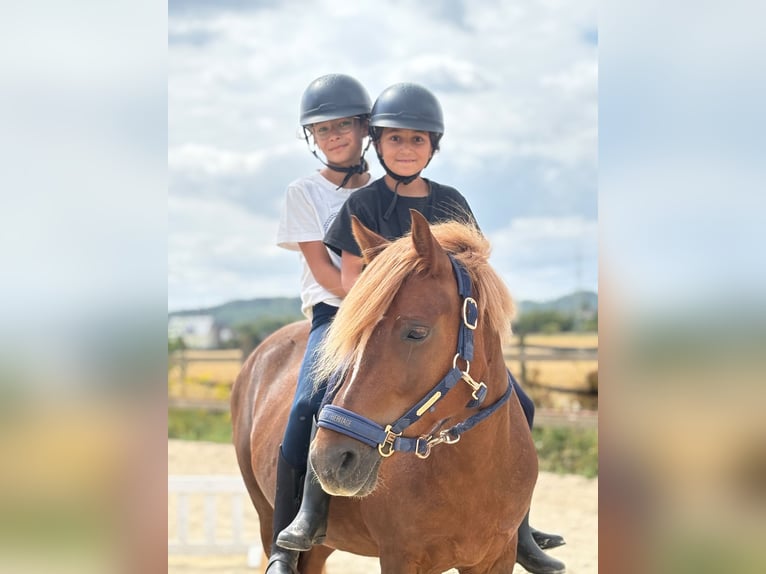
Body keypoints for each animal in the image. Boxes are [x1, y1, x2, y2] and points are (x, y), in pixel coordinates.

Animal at [231, 210, 538, 574]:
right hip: (267, 517)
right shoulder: (399, 556)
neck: (472, 472)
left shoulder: (497, 557)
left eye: (416, 332)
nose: (329, 460)